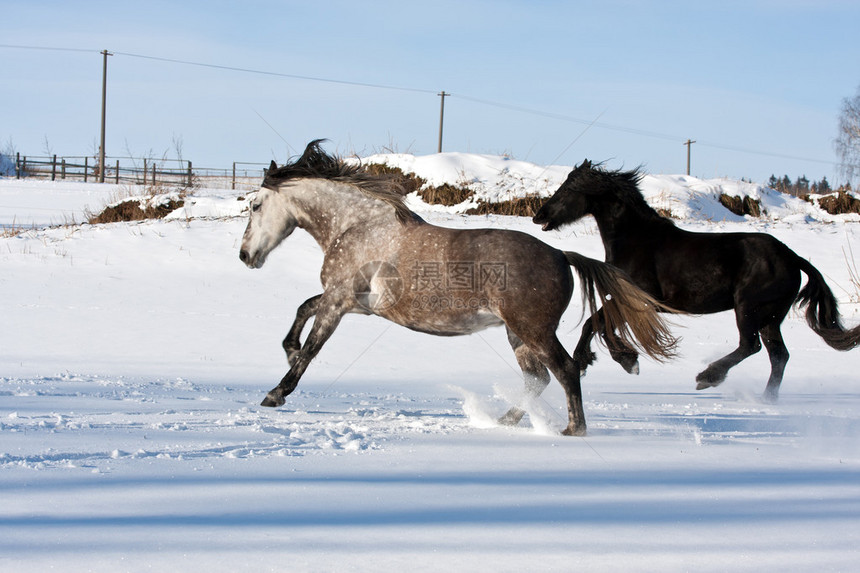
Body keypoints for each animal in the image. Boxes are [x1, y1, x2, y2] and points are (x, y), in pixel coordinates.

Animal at [239, 140, 676, 434]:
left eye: (255, 206)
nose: (246, 256)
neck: (359, 225)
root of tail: (561, 254)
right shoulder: (350, 302)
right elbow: (302, 309)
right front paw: (289, 350)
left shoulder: (340, 301)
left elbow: (313, 348)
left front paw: (276, 393)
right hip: (518, 334)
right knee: (538, 379)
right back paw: (503, 421)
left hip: (533, 330)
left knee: (566, 370)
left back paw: (572, 430)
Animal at [536, 160, 856, 402]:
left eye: (568, 189)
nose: (539, 216)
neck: (636, 240)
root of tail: (793, 258)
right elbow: (598, 325)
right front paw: (616, 360)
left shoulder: (639, 300)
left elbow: (597, 324)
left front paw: (610, 361)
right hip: (771, 317)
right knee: (778, 356)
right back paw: (767, 398)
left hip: (749, 309)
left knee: (751, 346)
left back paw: (707, 377)